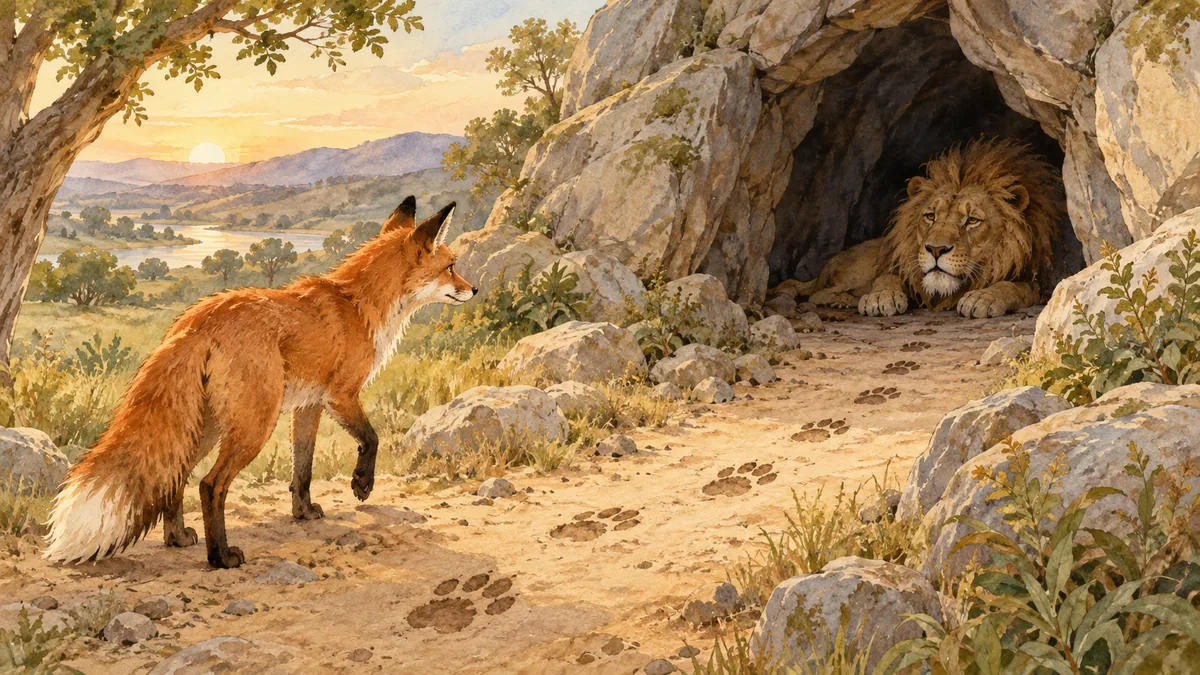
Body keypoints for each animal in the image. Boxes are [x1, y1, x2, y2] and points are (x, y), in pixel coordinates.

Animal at [44, 198, 477, 569]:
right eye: (451, 266)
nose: (475, 289)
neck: (359, 305)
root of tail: (195, 321)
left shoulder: (309, 405)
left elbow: (303, 468)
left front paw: (303, 512)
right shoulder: (341, 395)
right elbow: (372, 439)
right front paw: (362, 485)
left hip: (209, 426)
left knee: (177, 476)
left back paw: (177, 538)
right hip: (254, 424)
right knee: (210, 485)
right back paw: (220, 557)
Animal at [770, 138, 1062, 319]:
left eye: (972, 220)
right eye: (930, 216)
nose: (935, 249)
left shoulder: (1042, 283)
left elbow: (1013, 287)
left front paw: (983, 298)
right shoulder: (897, 265)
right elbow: (887, 277)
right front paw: (880, 297)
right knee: (815, 290)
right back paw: (842, 299)